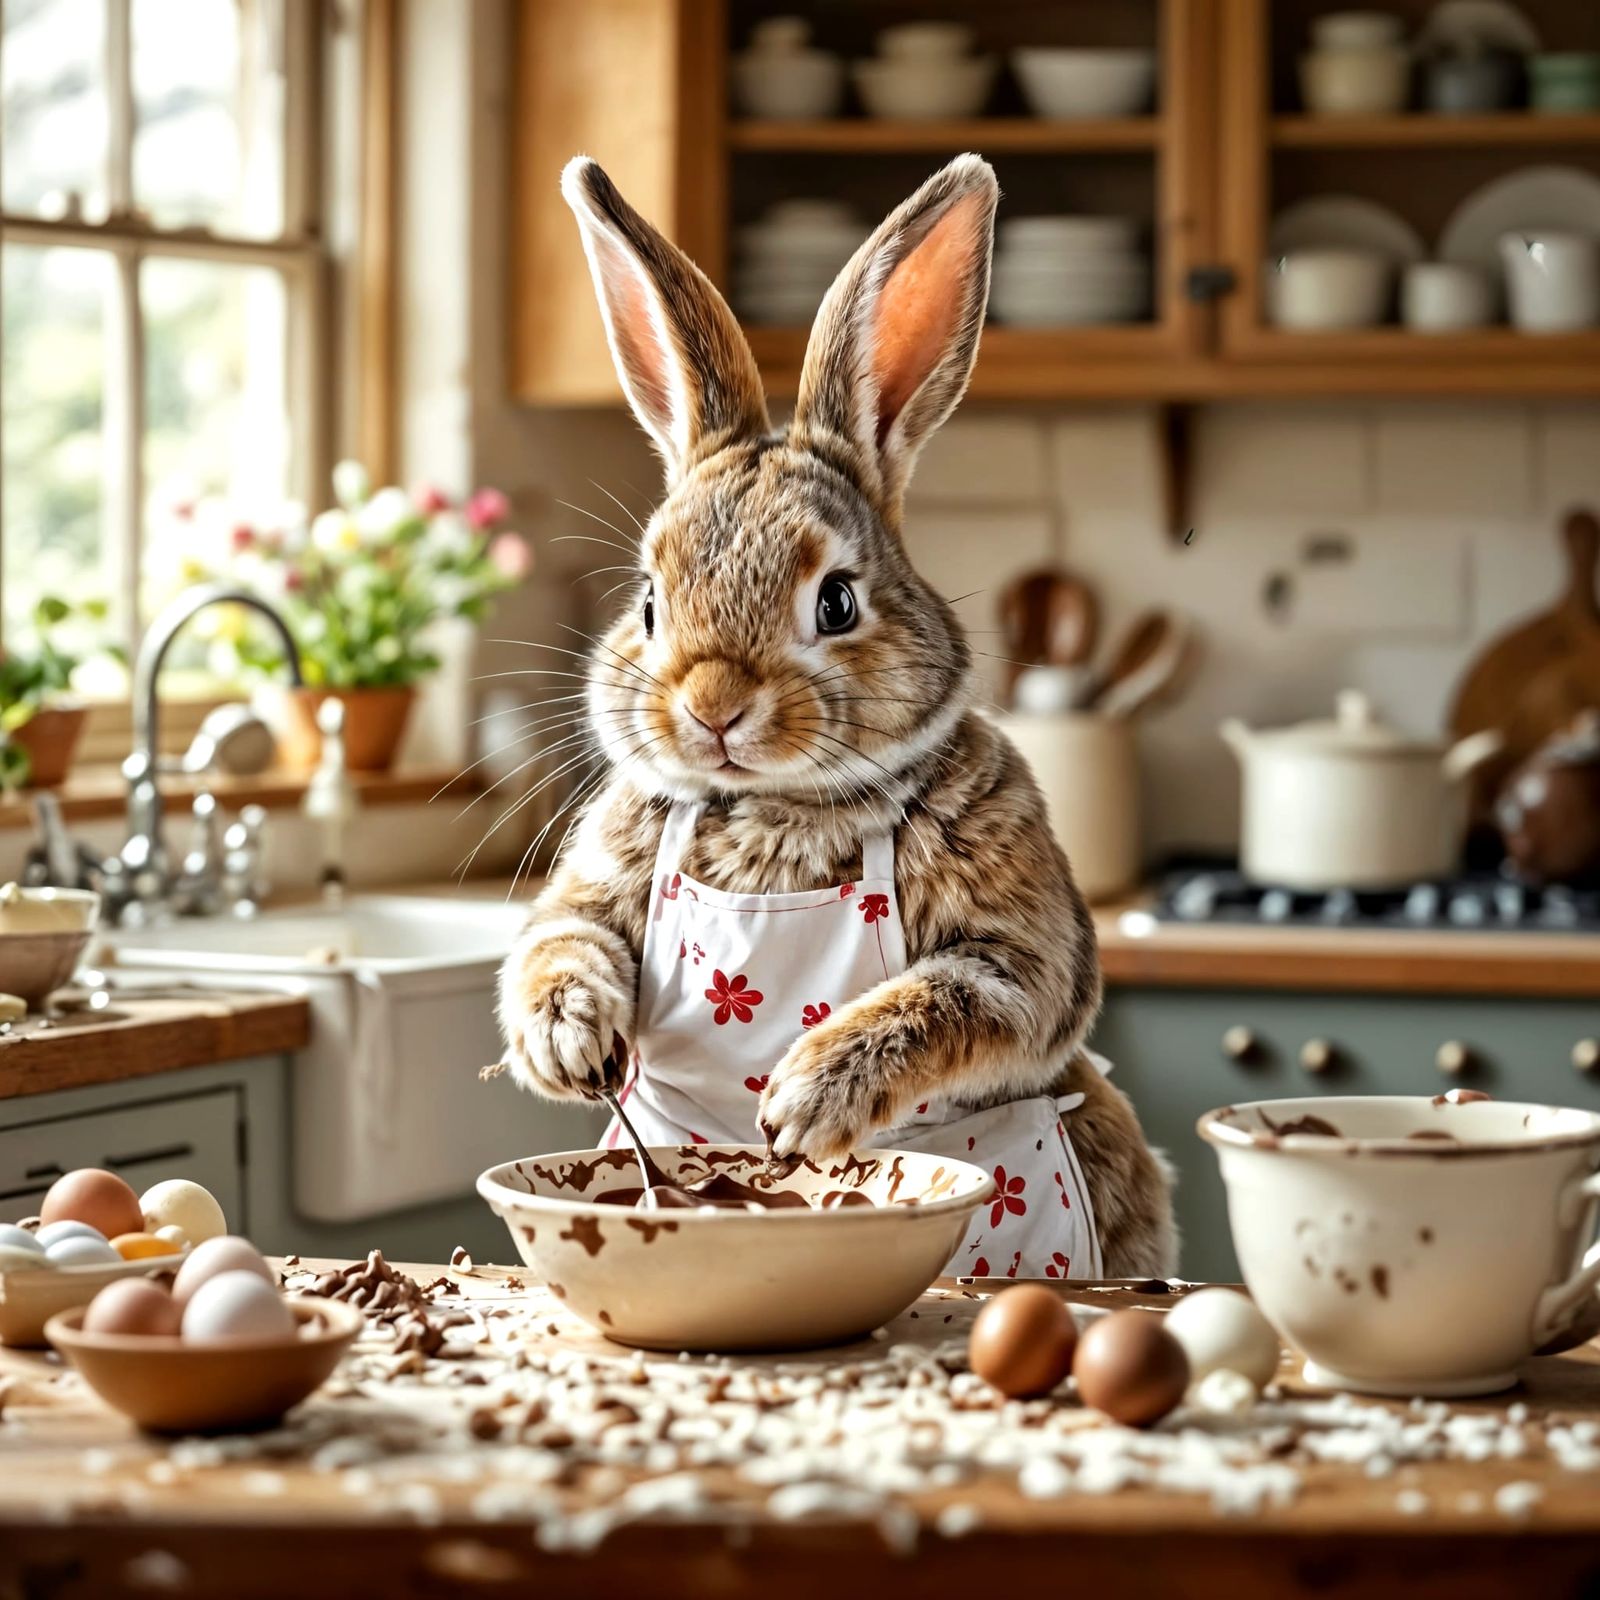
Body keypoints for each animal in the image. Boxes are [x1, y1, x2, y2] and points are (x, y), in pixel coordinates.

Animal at [497, 152, 1176, 1278]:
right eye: (649, 601)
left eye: (837, 603)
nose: (713, 706)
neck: (777, 805)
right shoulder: (596, 889)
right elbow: (561, 937)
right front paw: (569, 1044)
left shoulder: (1023, 954)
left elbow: (958, 994)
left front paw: (806, 1098)